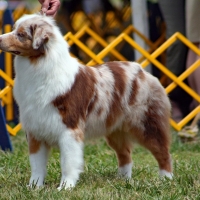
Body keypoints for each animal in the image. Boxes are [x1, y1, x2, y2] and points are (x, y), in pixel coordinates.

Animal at [0, 13, 172, 189]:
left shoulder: (69, 129)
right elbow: (36, 164)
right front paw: (34, 187)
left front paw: (65, 187)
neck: (38, 67)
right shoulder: (35, 129)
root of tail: (142, 70)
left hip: (147, 124)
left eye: (21, 34)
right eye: (14, 29)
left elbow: (68, 162)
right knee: (126, 155)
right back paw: (122, 180)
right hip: (115, 130)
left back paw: (166, 179)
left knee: (162, 152)